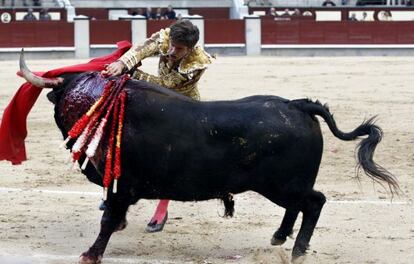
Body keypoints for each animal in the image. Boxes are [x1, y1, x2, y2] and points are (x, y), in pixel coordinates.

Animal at [19, 56, 398, 262]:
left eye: (64, 97)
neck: (105, 104)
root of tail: (296, 105)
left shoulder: (119, 186)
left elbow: (107, 220)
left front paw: (90, 254)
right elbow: (113, 218)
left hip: (282, 184)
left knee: (314, 202)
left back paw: (297, 251)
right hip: (284, 185)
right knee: (300, 206)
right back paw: (279, 237)